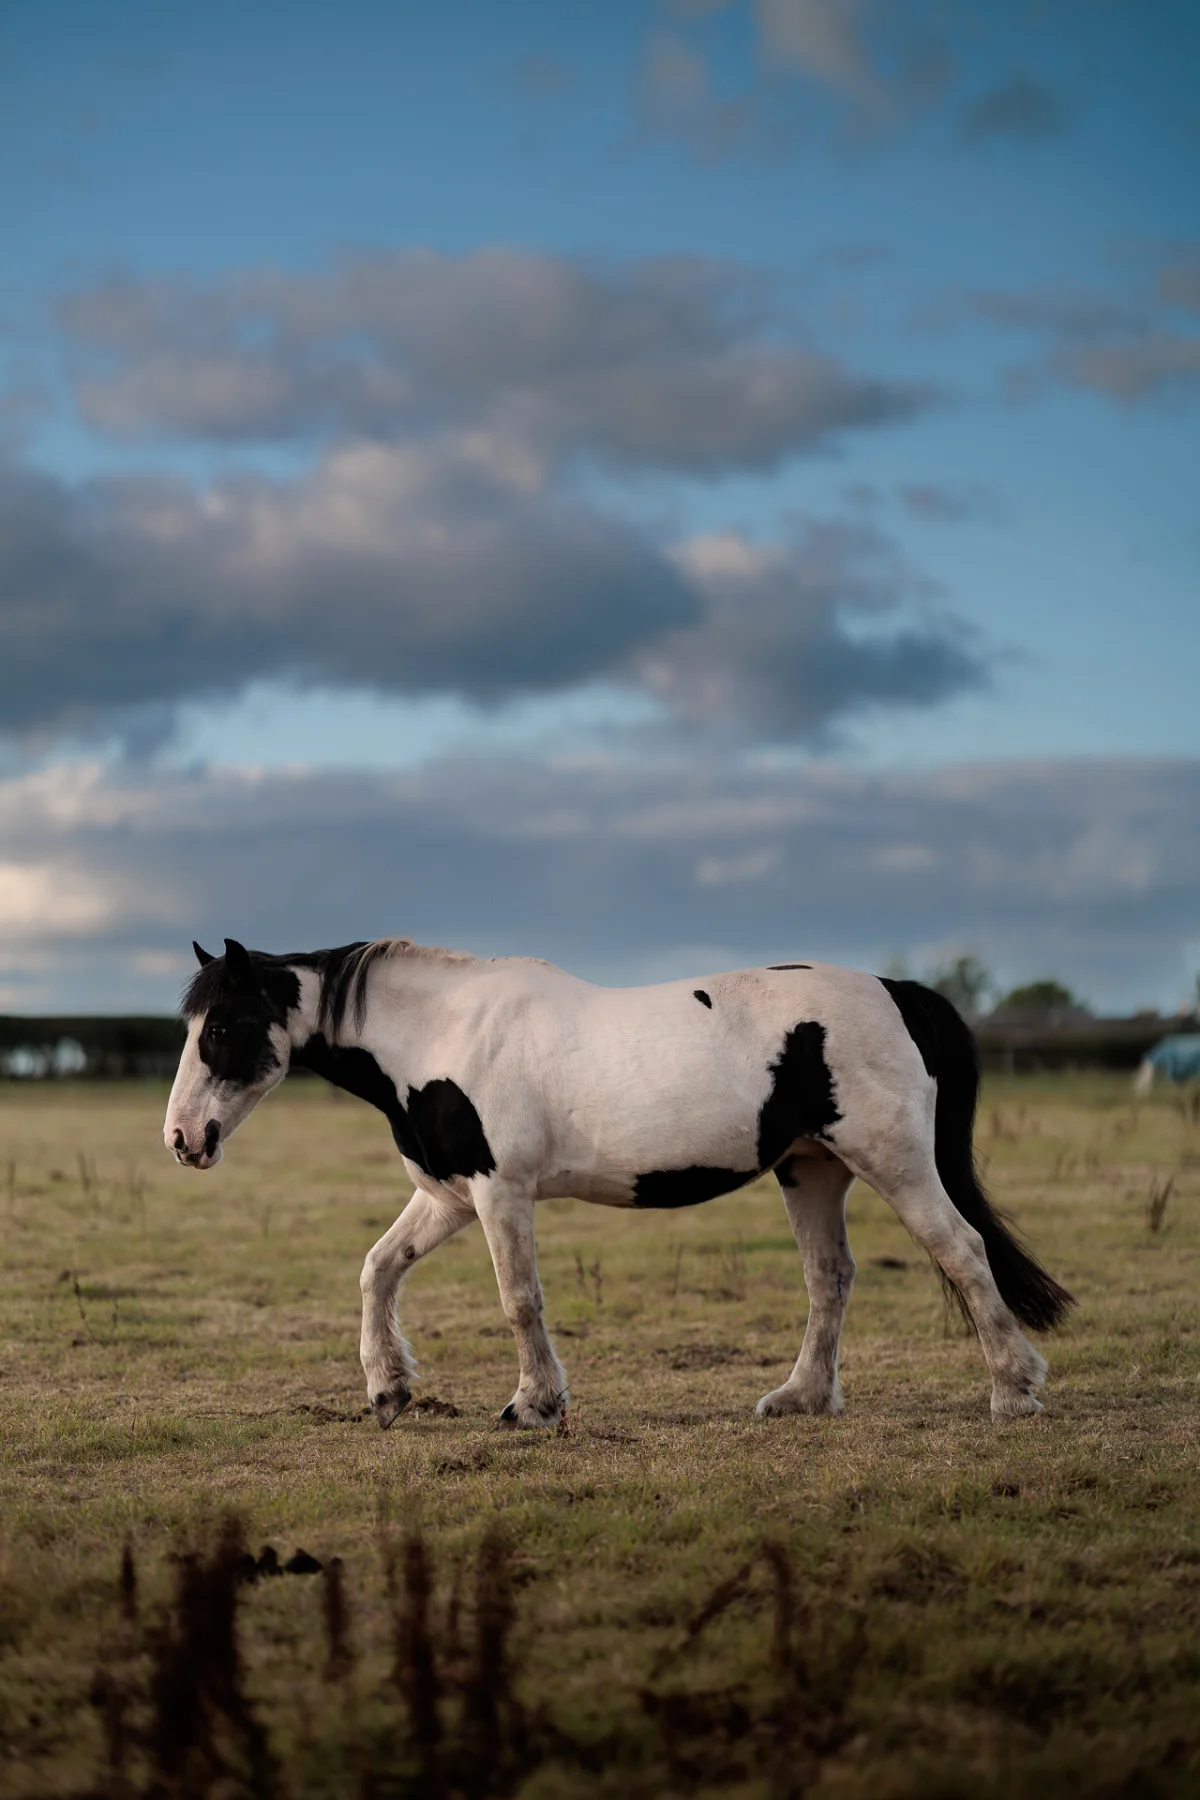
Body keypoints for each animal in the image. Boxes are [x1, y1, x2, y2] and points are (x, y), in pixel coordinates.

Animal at [164, 936, 1073, 1429]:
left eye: (223, 1027)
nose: (182, 1139)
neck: (442, 1033)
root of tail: (897, 992)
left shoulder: (499, 1192)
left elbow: (519, 1301)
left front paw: (533, 1405)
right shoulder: (449, 1195)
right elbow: (378, 1268)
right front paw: (388, 1389)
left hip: (893, 1161)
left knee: (961, 1250)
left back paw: (1014, 1392)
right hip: (811, 1170)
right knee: (831, 1278)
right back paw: (801, 1397)